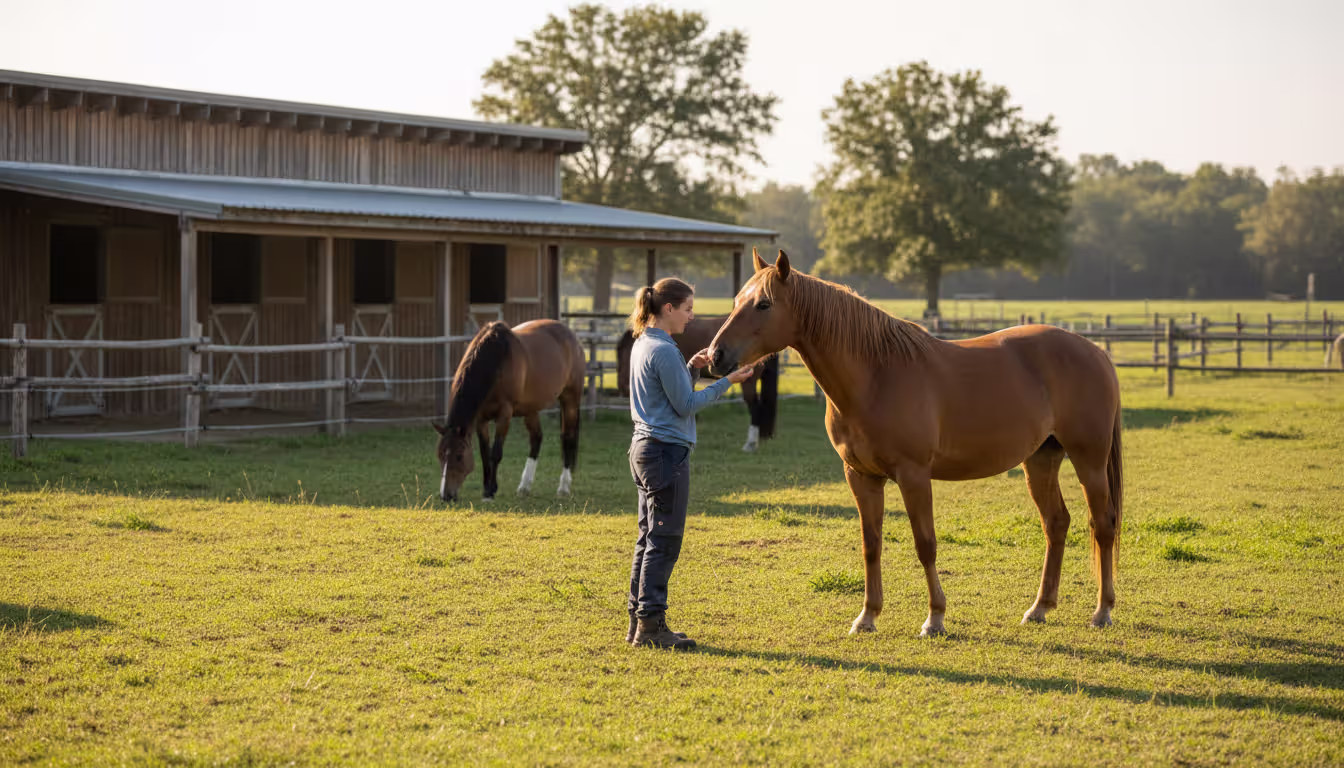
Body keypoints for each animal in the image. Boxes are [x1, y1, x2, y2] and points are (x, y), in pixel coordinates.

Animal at [435, 319, 585, 503]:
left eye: (459, 456)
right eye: (440, 455)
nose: (446, 495)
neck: (496, 360)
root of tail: (571, 336)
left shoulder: (504, 415)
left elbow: (496, 453)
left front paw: (490, 491)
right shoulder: (481, 419)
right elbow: (485, 453)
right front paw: (487, 488)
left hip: (570, 399)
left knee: (568, 439)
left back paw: (563, 487)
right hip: (530, 408)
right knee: (536, 438)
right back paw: (524, 486)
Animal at [709, 250, 1124, 637]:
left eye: (763, 304)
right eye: (736, 300)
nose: (715, 356)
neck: (877, 376)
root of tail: (1095, 352)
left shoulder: (913, 476)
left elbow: (926, 544)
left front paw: (935, 618)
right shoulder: (860, 477)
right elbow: (871, 545)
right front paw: (867, 616)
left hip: (1089, 461)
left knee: (1102, 525)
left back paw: (1102, 611)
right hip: (1040, 459)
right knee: (1056, 523)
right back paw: (1039, 608)